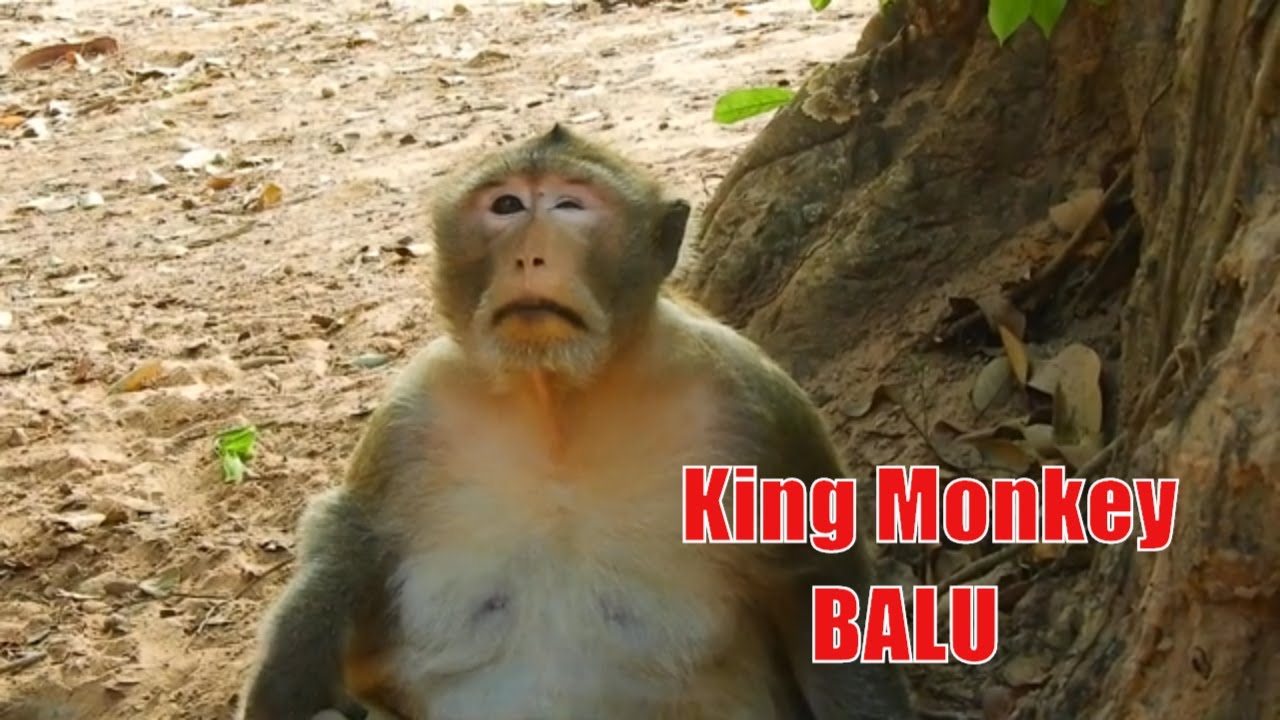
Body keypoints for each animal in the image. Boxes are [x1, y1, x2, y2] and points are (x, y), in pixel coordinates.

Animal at [235, 124, 917, 720]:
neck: (559, 398)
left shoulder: (756, 404)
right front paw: (286, 685)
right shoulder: (415, 406)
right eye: (506, 205)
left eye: (569, 206)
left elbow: (818, 581)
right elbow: (350, 538)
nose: (531, 256)